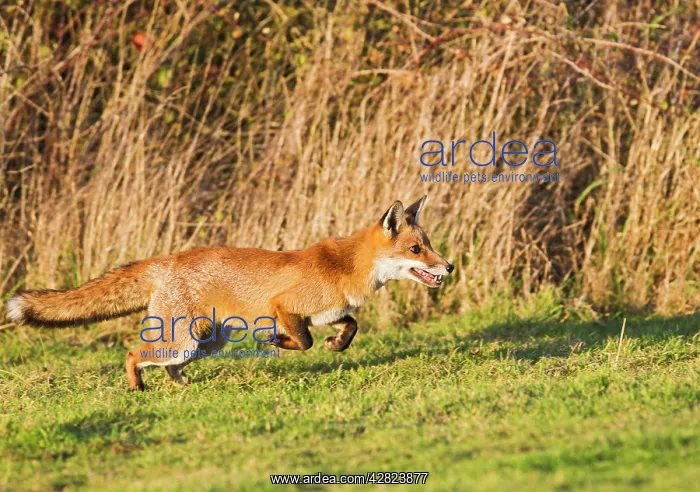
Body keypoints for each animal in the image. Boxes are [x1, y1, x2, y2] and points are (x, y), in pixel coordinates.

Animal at [7, 196, 453, 390]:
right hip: (182, 342)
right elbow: (303, 341)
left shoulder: (327, 312)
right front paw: (281, 342)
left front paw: (336, 344)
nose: (449, 267)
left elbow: (350, 326)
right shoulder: (284, 306)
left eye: (429, 245)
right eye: (416, 250)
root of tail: (169, 259)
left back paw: (180, 387)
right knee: (133, 354)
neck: (345, 267)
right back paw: (137, 388)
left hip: (204, 344)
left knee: (167, 366)